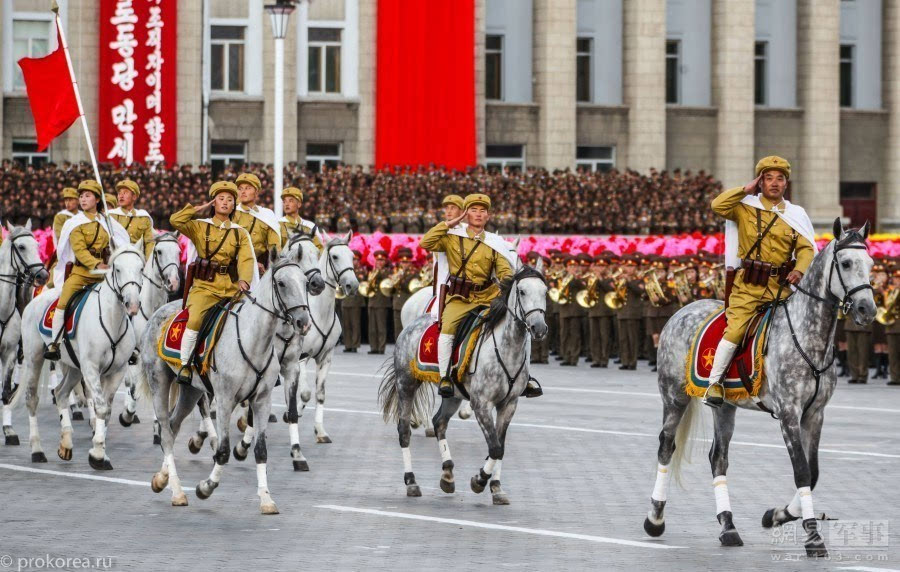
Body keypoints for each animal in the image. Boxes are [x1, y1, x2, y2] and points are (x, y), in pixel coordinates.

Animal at [16, 241, 146, 470]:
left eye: (141, 268)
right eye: (117, 269)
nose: (132, 304)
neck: (111, 319)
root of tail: (37, 299)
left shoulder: (117, 371)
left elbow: (107, 410)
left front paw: (99, 450)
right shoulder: (91, 368)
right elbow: (101, 407)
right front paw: (97, 454)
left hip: (75, 367)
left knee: (60, 393)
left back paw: (66, 444)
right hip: (34, 359)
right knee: (32, 399)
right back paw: (37, 450)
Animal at [139, 252, 312, 512]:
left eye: (304, 282)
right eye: (281, 283)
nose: (303, 322)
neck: (254, 340)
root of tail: (161, 311)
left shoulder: (262, 401)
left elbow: (261, 450)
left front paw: (266, 498)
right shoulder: (224, 400)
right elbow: (222, 451)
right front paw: (205, 487)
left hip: (190, 392)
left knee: (173, 424)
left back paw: (162, 478)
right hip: (159, 382)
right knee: (167, 433)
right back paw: (177, 491)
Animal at [376, 262, 544, 502]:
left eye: (545, 292)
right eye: (522, 291)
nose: (540, 328)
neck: (507, 349)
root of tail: (413, 323)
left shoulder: (509, 404)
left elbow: (500, 446)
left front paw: (496, 486)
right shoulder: (481, 403)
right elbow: (495, 448)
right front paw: (480, 481)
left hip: (453, 394)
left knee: (439, 422)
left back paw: (447, 473)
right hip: (406, 384)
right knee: (404, 430)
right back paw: (411, 482)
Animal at [644, 220, 876, 560]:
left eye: (870, 264)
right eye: (846, 263)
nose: (866, 309)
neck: (808, 337)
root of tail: (682, 310)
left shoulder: (815, 414)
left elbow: (814, 473)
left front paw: (777, 515)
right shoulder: (788, 413)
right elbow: (802, 471)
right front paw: (812, 536)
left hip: (724, 406)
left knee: (718, 457)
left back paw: (728, 527)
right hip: (674, 396)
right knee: (666, 446)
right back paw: (655, 519)